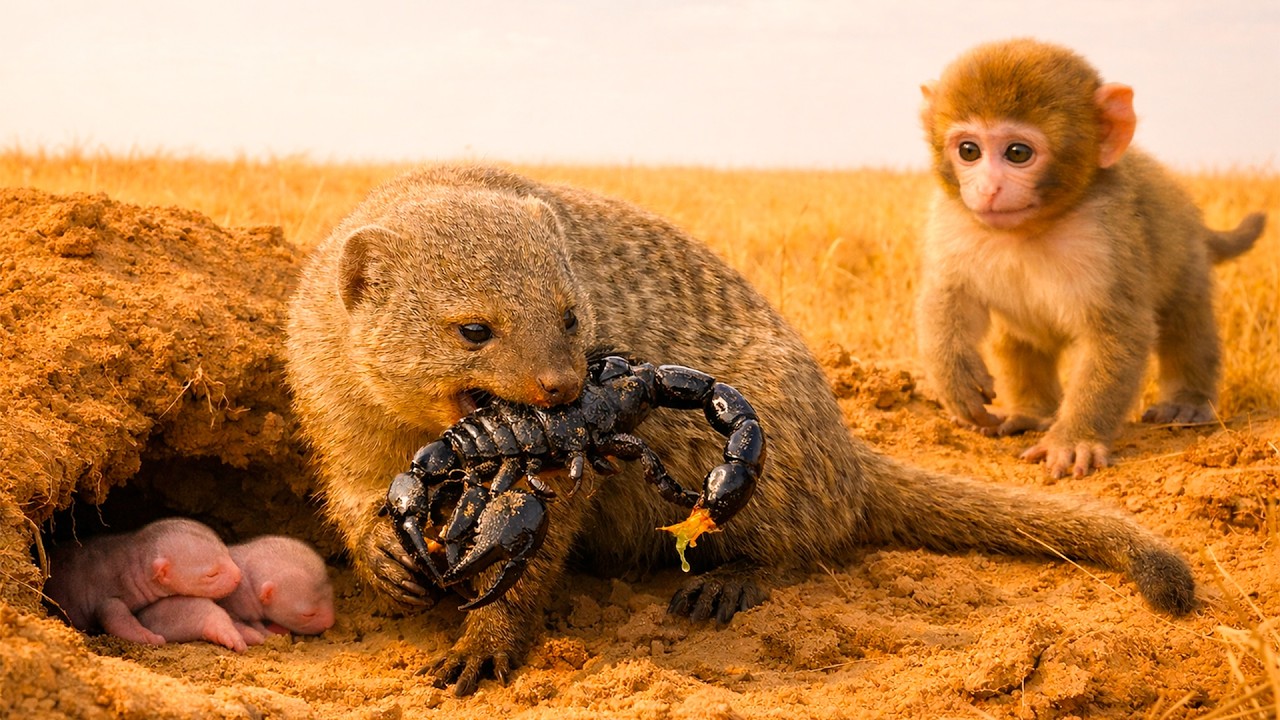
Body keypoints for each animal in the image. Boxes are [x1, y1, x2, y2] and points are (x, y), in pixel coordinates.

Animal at [285, 164, 1197, 696]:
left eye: (573, 316)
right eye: (473, 331)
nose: (563, 386)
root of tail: (851, 452)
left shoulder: (562, 463)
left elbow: (534, 546)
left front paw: (486, 640)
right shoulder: (330, 397)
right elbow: (355, 484)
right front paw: (383, 553)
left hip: (755, 432)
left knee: (799, 536)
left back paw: (727, 580)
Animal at [915, 37, 1266, 479]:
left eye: (1017, 153)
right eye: (968, 150)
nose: (987, 188)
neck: (1029, 230)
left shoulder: (1105, 235)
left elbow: (1117, 331)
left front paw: (1074, 438)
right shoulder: (951, 219)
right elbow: (948, 295)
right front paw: (953, 376)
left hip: (1187, 256)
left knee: (1184, 316)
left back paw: (1187, 400)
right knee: (1018, 337)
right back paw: (1033, 412)